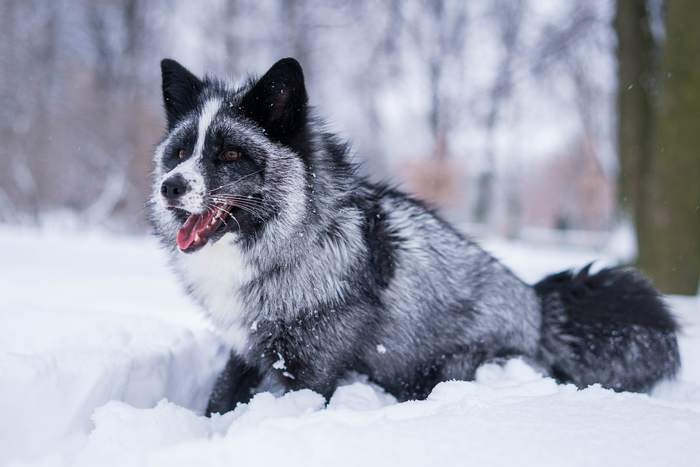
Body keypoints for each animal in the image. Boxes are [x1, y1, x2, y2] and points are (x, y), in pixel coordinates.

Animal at [150, 59, 680, 416]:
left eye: (231, 154)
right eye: (179, 152)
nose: (168, 186)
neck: (292, 240)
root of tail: (540, 309)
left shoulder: (312, 368)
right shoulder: (245, 348)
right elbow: (220, 398)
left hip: (452, 365)